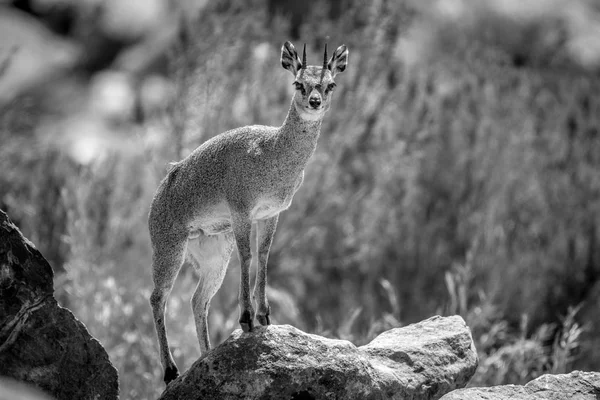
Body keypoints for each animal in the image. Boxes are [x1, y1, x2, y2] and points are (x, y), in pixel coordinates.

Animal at [148, 40, 350, 384]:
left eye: (330, 84)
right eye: (298, 83)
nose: (314, 101)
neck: (272, 153)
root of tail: (157, 196)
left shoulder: (270, 214)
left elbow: (264, 255)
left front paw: (265, 316)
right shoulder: (241, 211)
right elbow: (248, 256)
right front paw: (246, 319)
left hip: (214, 252)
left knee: (197, 299)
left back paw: (205, 356)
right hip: (169, 249)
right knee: (158, 298)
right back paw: (170, 371)